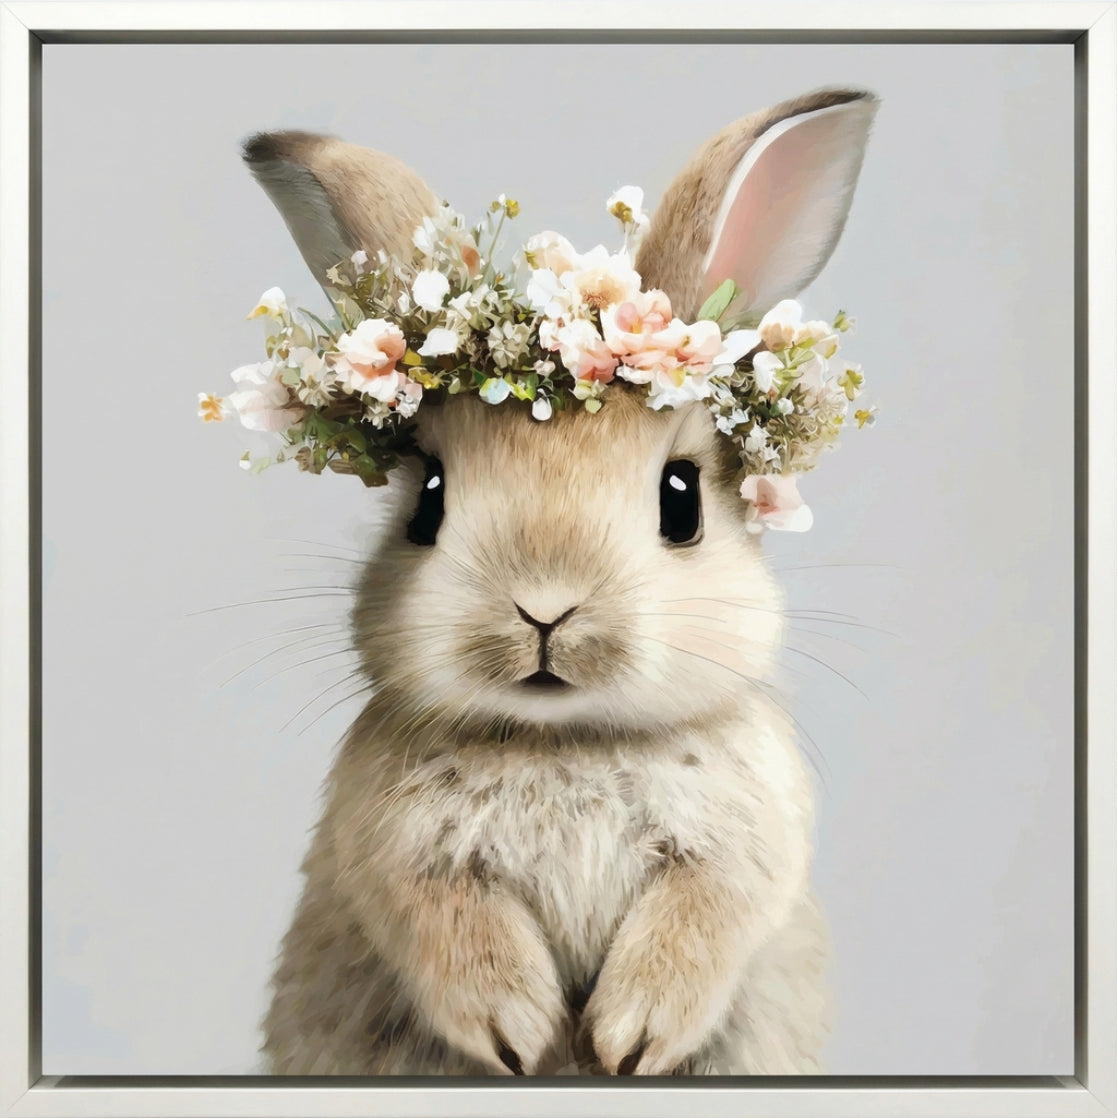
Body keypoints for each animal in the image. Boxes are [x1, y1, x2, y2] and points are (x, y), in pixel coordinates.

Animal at [248, 86, 878, 1077]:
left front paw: (628, 1038)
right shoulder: (395, 855)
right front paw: (522, 1032)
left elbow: (702, 919)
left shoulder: (744, 848)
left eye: (681, 501)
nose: (544, 607)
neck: (565, 740)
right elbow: (447, 925)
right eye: (428, 500)